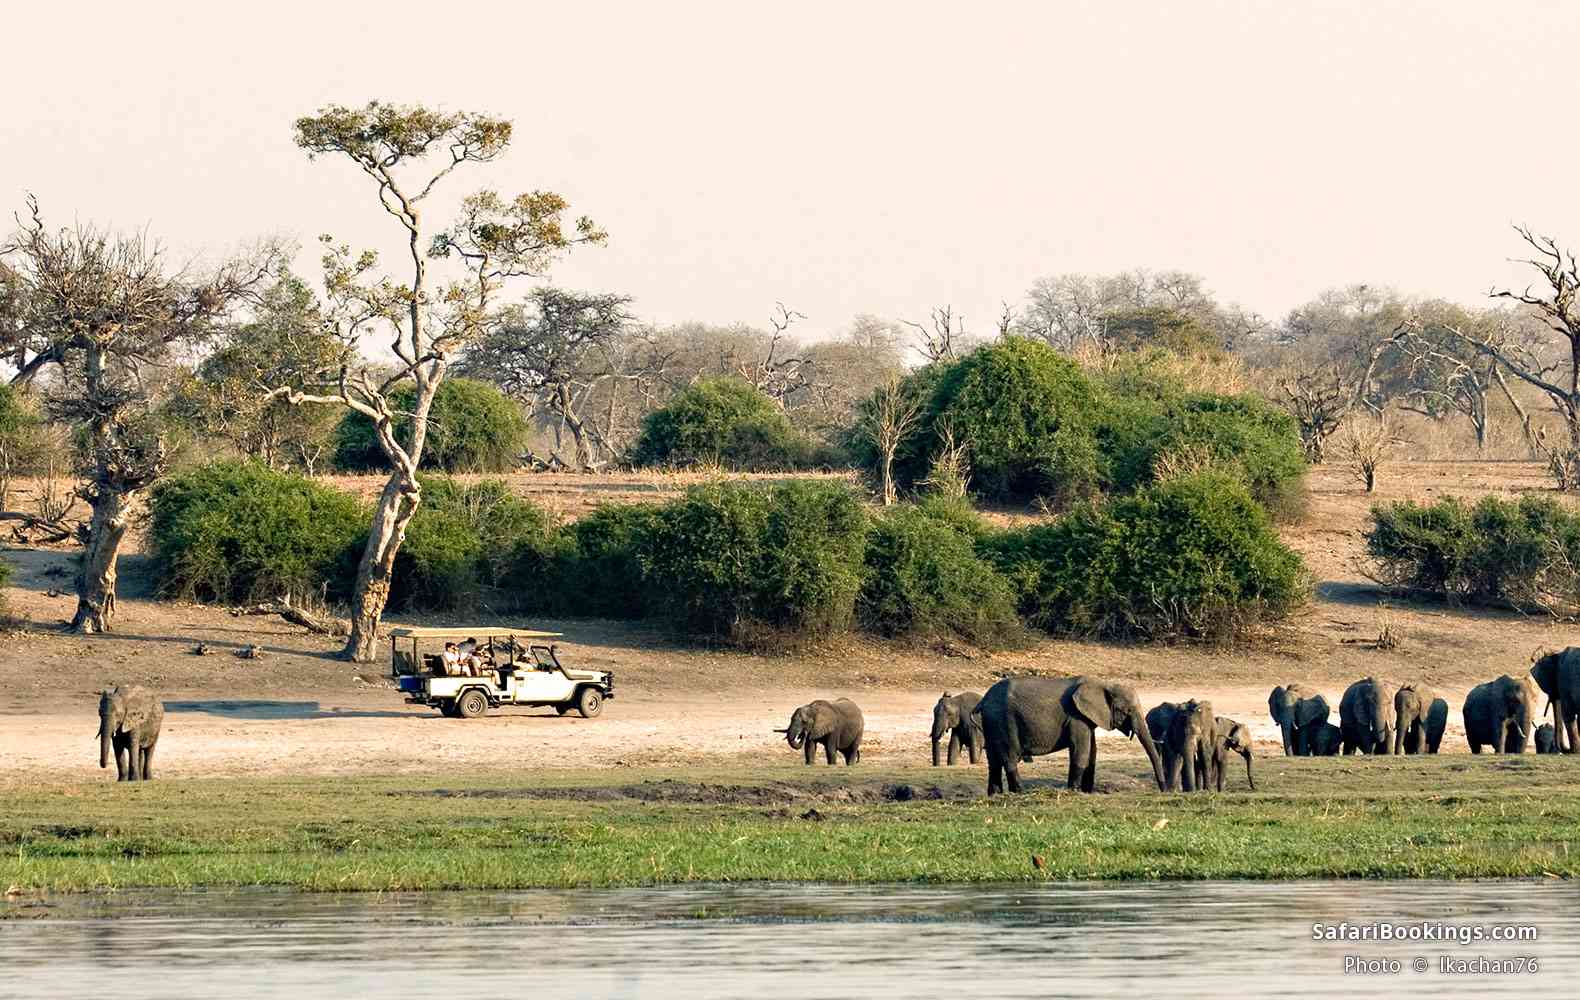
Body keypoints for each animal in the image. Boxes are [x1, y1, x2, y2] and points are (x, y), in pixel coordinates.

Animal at [978, 675, 1165, 795]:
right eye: (1127, 711)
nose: (1164, 789)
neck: (1104, 683)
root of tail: (983, 700)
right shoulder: (1076, 716)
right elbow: (1081, 750)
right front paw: (1074, 791)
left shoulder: (1086, 718)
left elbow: (1092, 751)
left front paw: (1086, 792)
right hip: (1003, 720)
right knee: (1009, 756)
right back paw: (1020, 793)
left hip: (992, 723)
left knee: (993, 761)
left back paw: (995, 795)